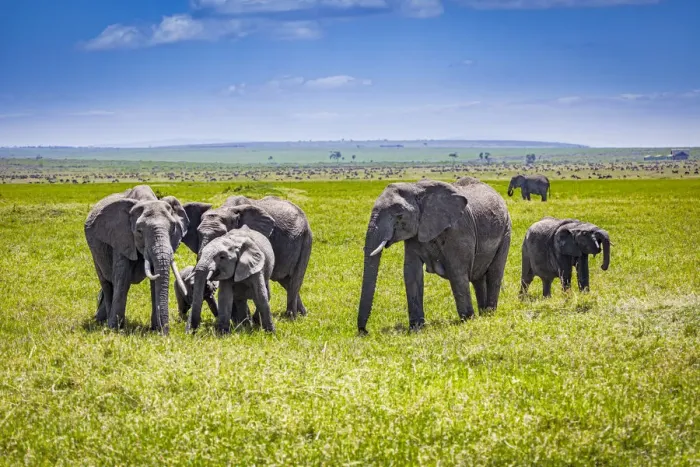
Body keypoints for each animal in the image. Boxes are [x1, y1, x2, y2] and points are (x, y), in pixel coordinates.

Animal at [84, 188, 189, 334]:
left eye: (173, 228)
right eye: (139, 231)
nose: (166, 333)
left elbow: (154, 282)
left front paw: (155, 329)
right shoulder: (121, 238)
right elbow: (122, 279)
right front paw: (115, 330)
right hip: (95, 252)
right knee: (107, 283)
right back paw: (104, 322)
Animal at [183, 195, 312, 319]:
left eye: (223, 234)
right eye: (198, 233)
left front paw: (251, 321)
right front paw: (241, 320)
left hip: (306, 239)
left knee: (295, 281)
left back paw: (291, 317)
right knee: (285, 281)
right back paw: (303, 314)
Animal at [357, 177, 512, 333]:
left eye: (399, 215)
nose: (364, 331)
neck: (415, 188)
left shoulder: (458, 230)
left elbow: (457, 271)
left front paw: (467, 320)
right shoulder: (415, 233)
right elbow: (411, 272)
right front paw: (416, 328)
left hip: (506, 230)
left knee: (494, 272)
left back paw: (489, 313)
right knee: (478, 277)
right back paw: (483, 313)